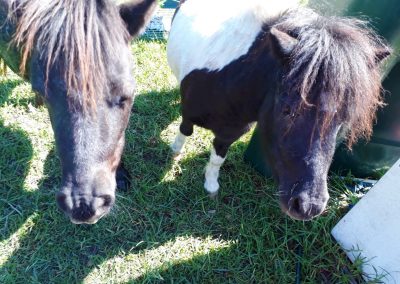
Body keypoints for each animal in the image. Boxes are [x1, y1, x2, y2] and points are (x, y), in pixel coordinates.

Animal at [167, 0, 392, 221]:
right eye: (287, 109)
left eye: (343, 121)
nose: (308, 206)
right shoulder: (189, 114)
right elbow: (185, 131)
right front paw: (175, 153)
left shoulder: (231, 133)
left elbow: (217, 159)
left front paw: (211, 186)